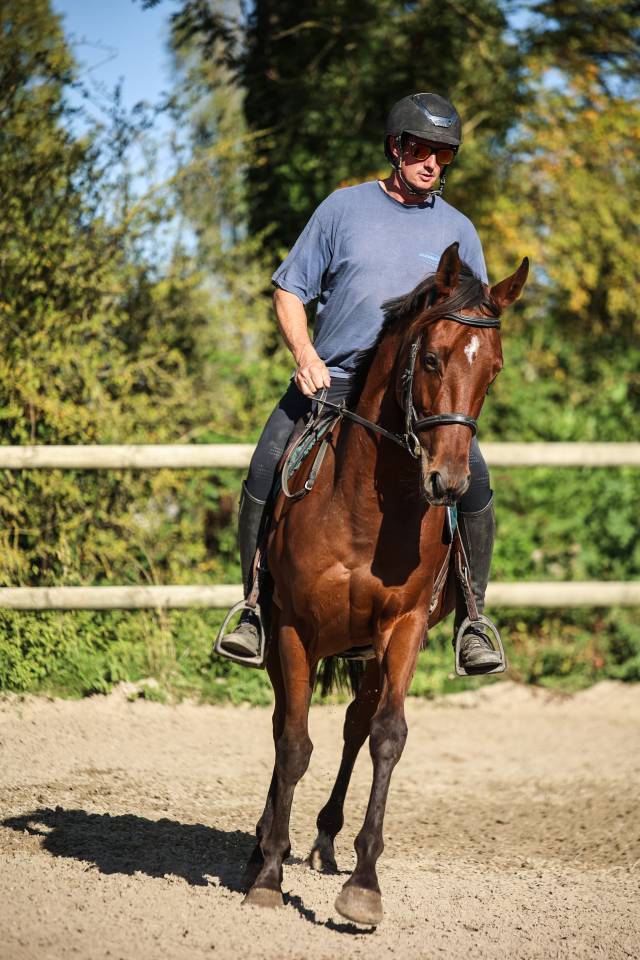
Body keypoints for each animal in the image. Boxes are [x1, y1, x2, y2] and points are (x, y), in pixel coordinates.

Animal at [242, 241, 528, 925]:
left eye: (494, 370)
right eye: (430, 357)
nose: (448, 482)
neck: (364, 510)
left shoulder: (403, 628)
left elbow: (387, 737)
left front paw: (364, 885)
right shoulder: (294, 627)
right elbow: (293, 743)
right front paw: (268, 873)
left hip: (367, 649)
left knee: (354, 724)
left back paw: (324, 839)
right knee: (284, 723)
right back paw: (266, 840)